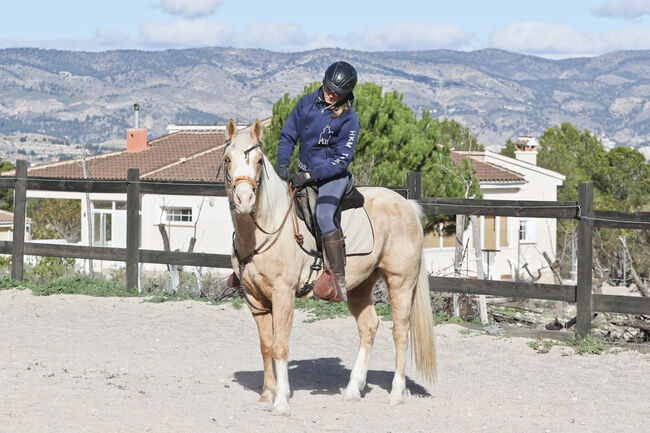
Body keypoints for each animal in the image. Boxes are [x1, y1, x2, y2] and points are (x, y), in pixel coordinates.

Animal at [223, 118, 436, 416]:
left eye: (258, 161)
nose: (244, 199)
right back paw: (353, 390)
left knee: (400, 332)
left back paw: (396, 393)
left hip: (400, 282)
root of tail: (408, 205)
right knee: (369, 327)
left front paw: (281, 402)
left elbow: (280, 345)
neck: (267, 228)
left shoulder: (283, 294)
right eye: (228, 159)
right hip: (359, 286)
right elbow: (266, 346)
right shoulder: (254, 298)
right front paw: (266, 396)